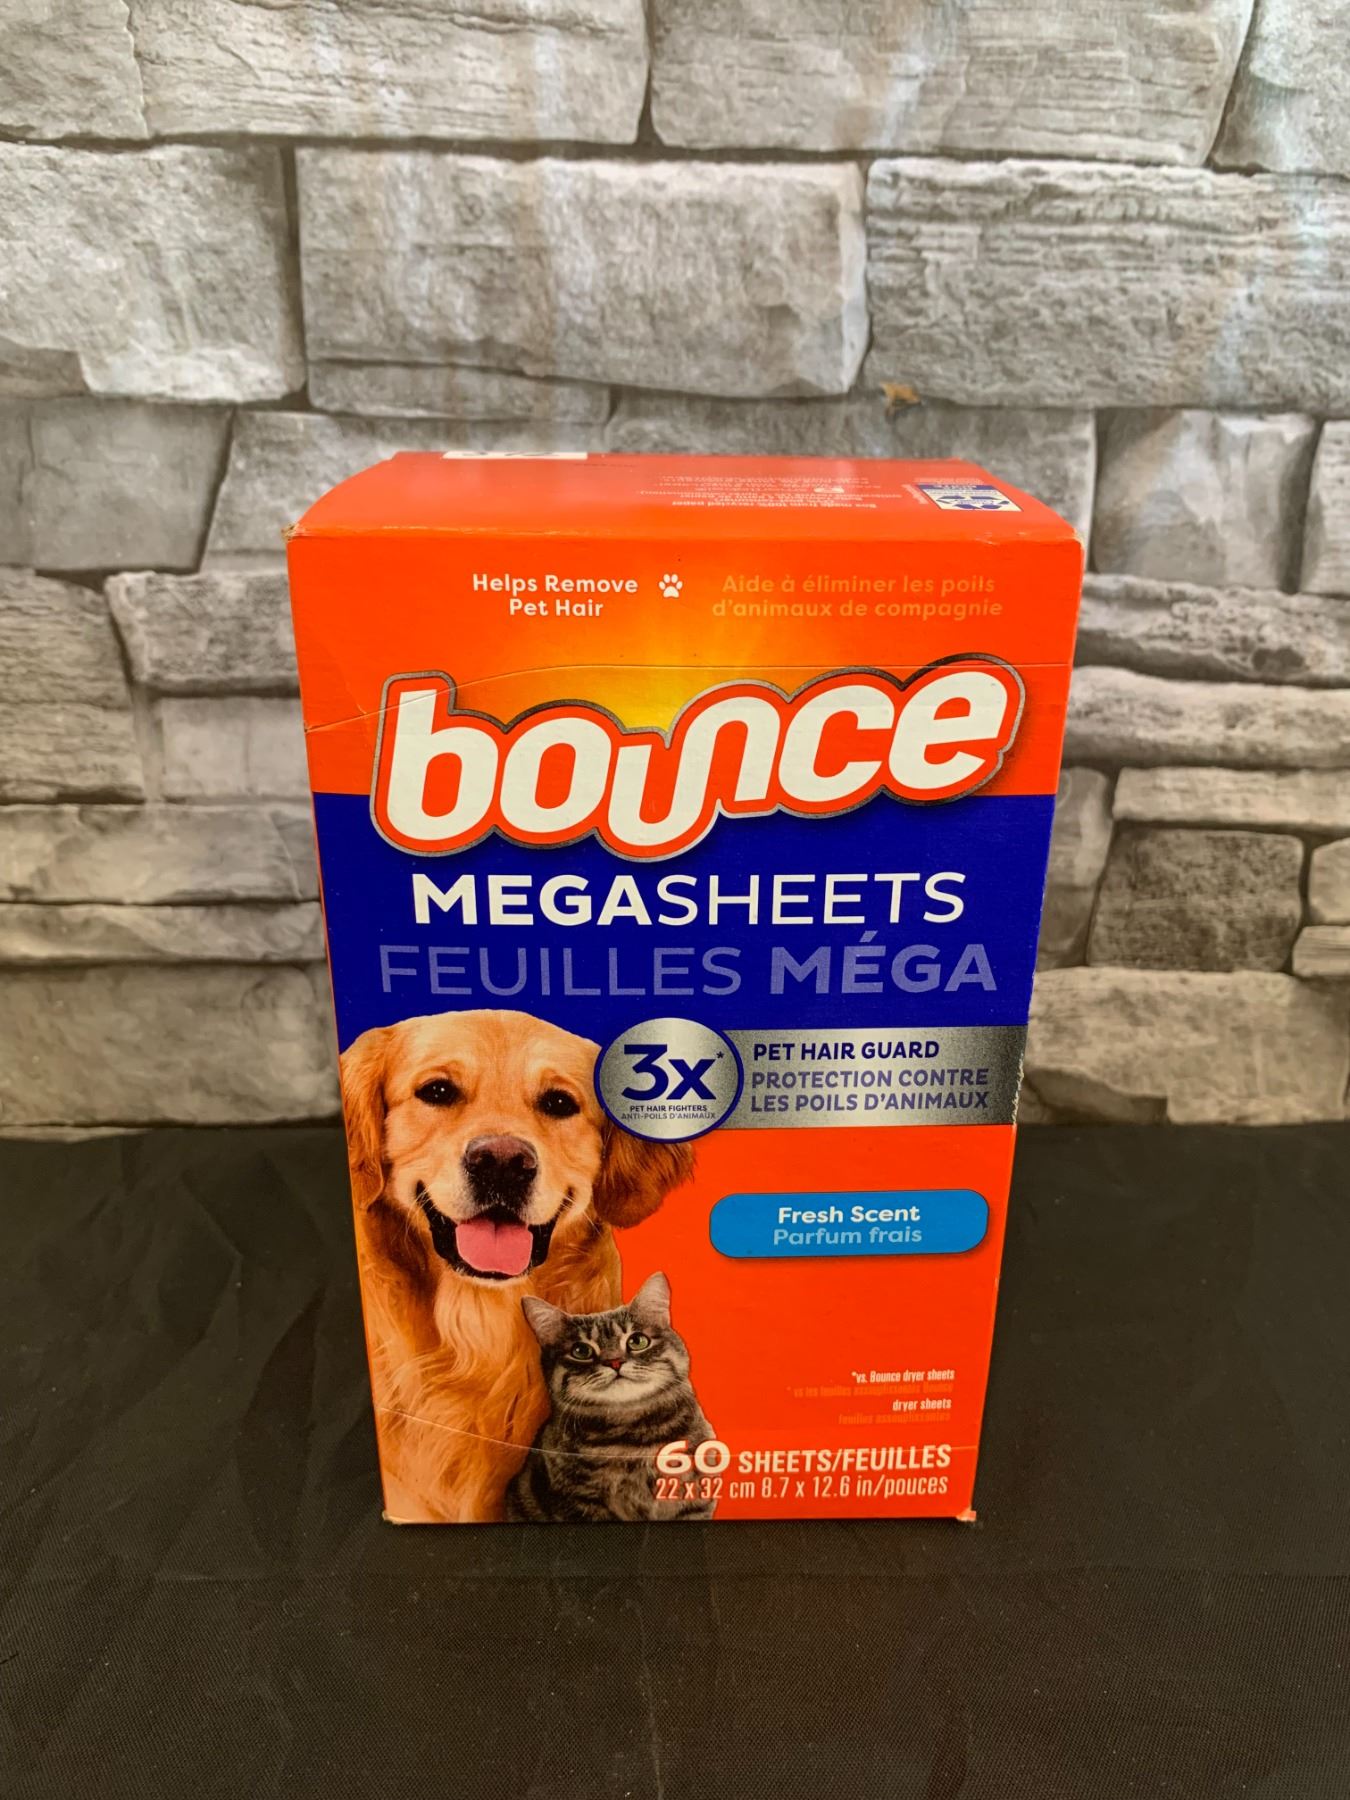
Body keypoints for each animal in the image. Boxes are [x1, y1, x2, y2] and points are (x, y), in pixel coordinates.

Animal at [505, 1272, 717, 1523]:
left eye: (637, 1341)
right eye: (581, 1351)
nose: (614, 1361)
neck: (631, 1438)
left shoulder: (695, 1497)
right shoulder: (580, 1503)